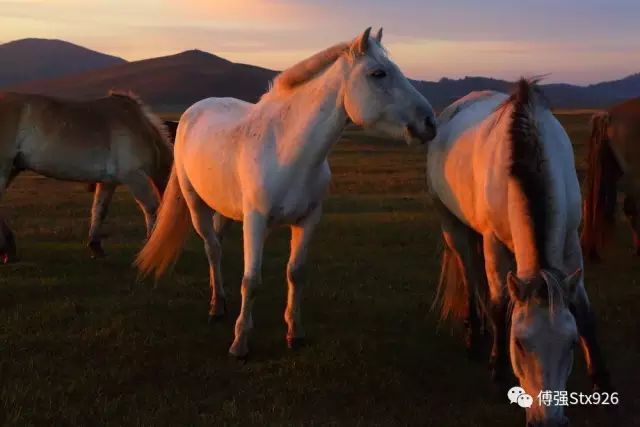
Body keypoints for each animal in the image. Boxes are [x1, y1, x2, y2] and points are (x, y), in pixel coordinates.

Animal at [0, 93, 172, 260]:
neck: (140, 128)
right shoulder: (134, 176)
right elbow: (151, 209)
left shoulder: (108, 182)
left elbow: (99, 210)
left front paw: (96, 246)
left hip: (13, 168)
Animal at [134, 28, 436, 360]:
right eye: (378, 73)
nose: (430, 123)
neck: (287, 150)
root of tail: (193, 111)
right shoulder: (255, 221)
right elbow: (251, 281)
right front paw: (240, 343)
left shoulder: (308, 220)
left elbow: (296, 272)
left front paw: (295, 332)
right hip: (194, 202)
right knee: (211, 248)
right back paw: (216, 308)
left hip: (226, 209)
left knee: (218, 244)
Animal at [430, 80, 608, 427]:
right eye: (519, 344)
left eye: (570, 343)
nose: (548, 421)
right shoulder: (493, 242)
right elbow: (500, 305)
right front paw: (497, 372)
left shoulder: (571, 241)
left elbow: (584, 308)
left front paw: (600, 380)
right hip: (453, 227)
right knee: (470, 276)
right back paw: (474, 336)